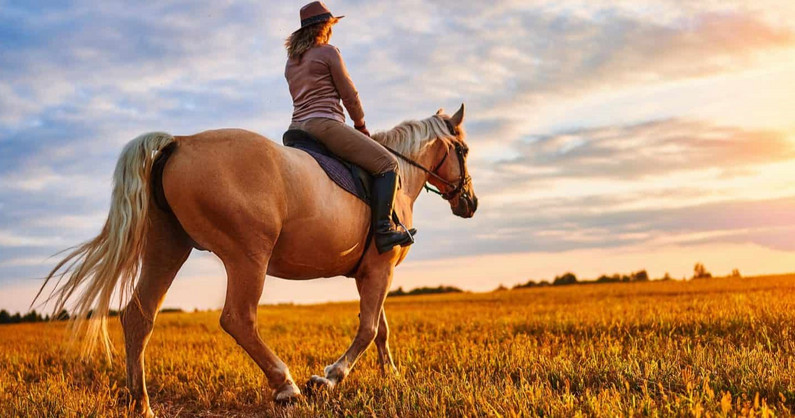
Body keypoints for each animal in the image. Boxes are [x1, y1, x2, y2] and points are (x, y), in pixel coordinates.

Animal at [36, 104, 477, 416]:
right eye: (465, 150)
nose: (470, 203)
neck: (399, 174)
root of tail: (179, 141)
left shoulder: (371, 271)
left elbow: (380, 329)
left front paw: (392, 378)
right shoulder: (380, 269)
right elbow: (369, 329)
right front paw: (328, 379)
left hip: (167, 246)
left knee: (138, 316)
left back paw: (140, 404)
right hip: (248, 256)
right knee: (238, 318)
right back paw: (286, 386)